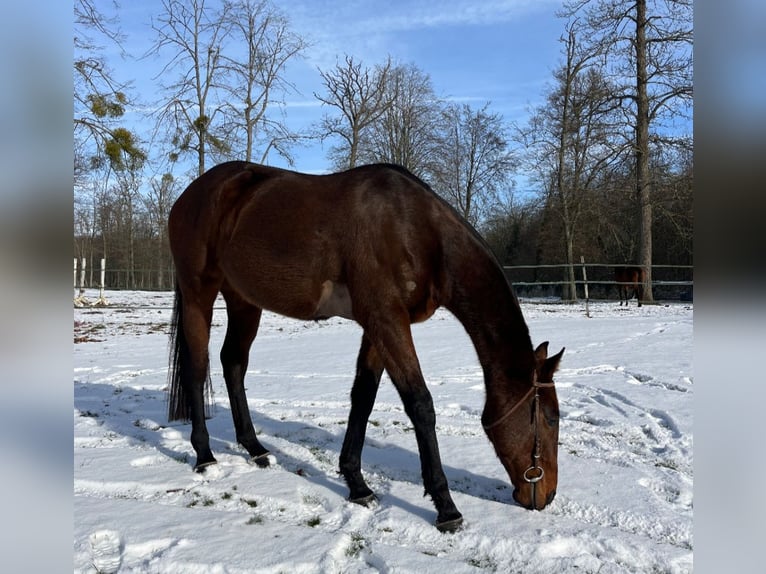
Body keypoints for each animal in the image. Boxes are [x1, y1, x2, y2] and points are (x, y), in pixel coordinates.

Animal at [166, 161, 564, 532]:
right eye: (550, 417)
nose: (547, 496)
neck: (417, 230)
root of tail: (191, 194)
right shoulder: (387, 320)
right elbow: (420, 404)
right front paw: (445, 507)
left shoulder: (378, 327)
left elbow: (363, 397)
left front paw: (356, 484)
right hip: (200, 294)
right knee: (197, 367)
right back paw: (204, 455)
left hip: (244, 301)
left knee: (233, 363)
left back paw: (255, 448)